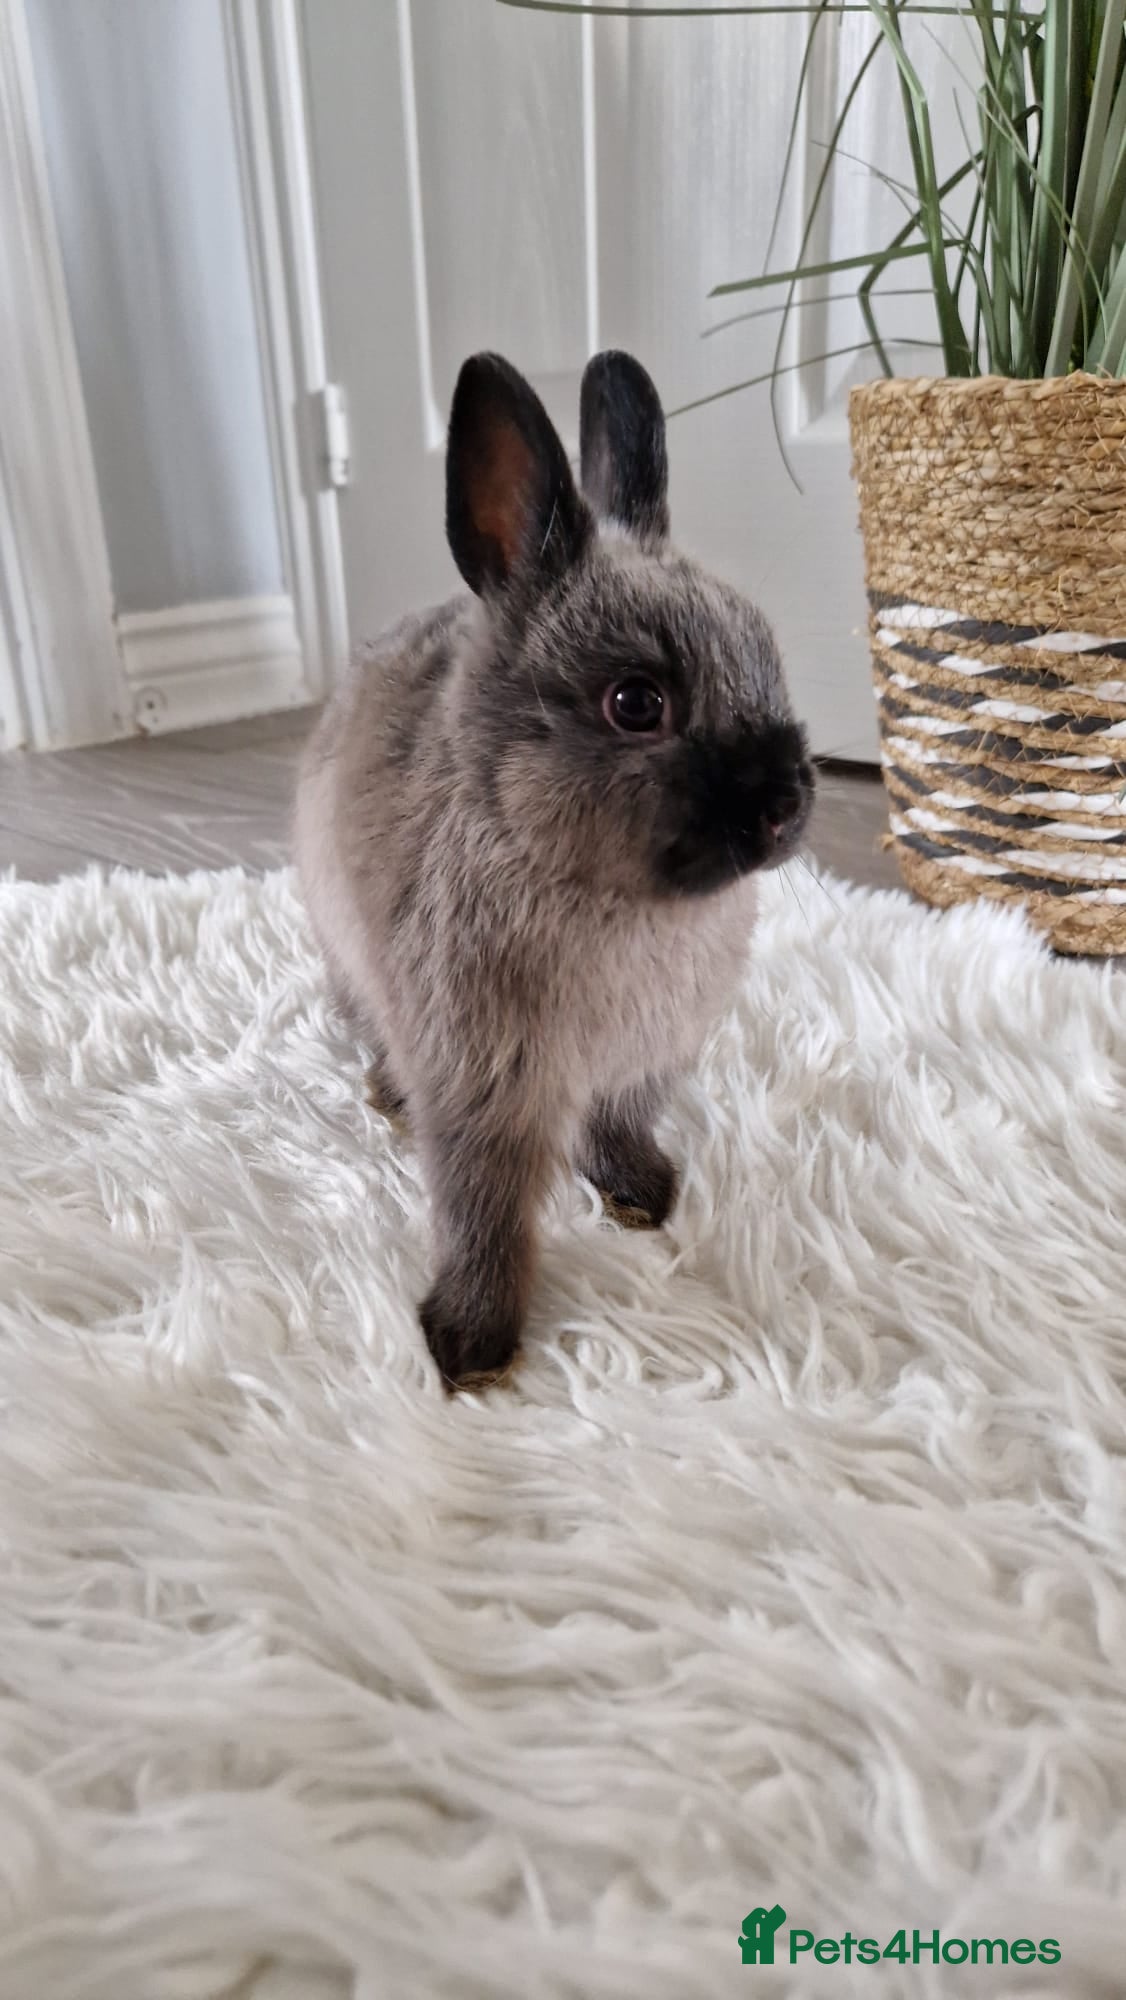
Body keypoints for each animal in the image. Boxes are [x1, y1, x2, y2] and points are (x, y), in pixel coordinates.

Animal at [295, 350, 814, 1389]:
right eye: (636, 702)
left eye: (768, 657)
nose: (787, 807)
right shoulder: (483, 1092)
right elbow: (484, 1212)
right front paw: (469, 1347)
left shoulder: (637, 1068)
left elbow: (614, 1130)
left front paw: (644, 1196)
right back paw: (387, 1097)